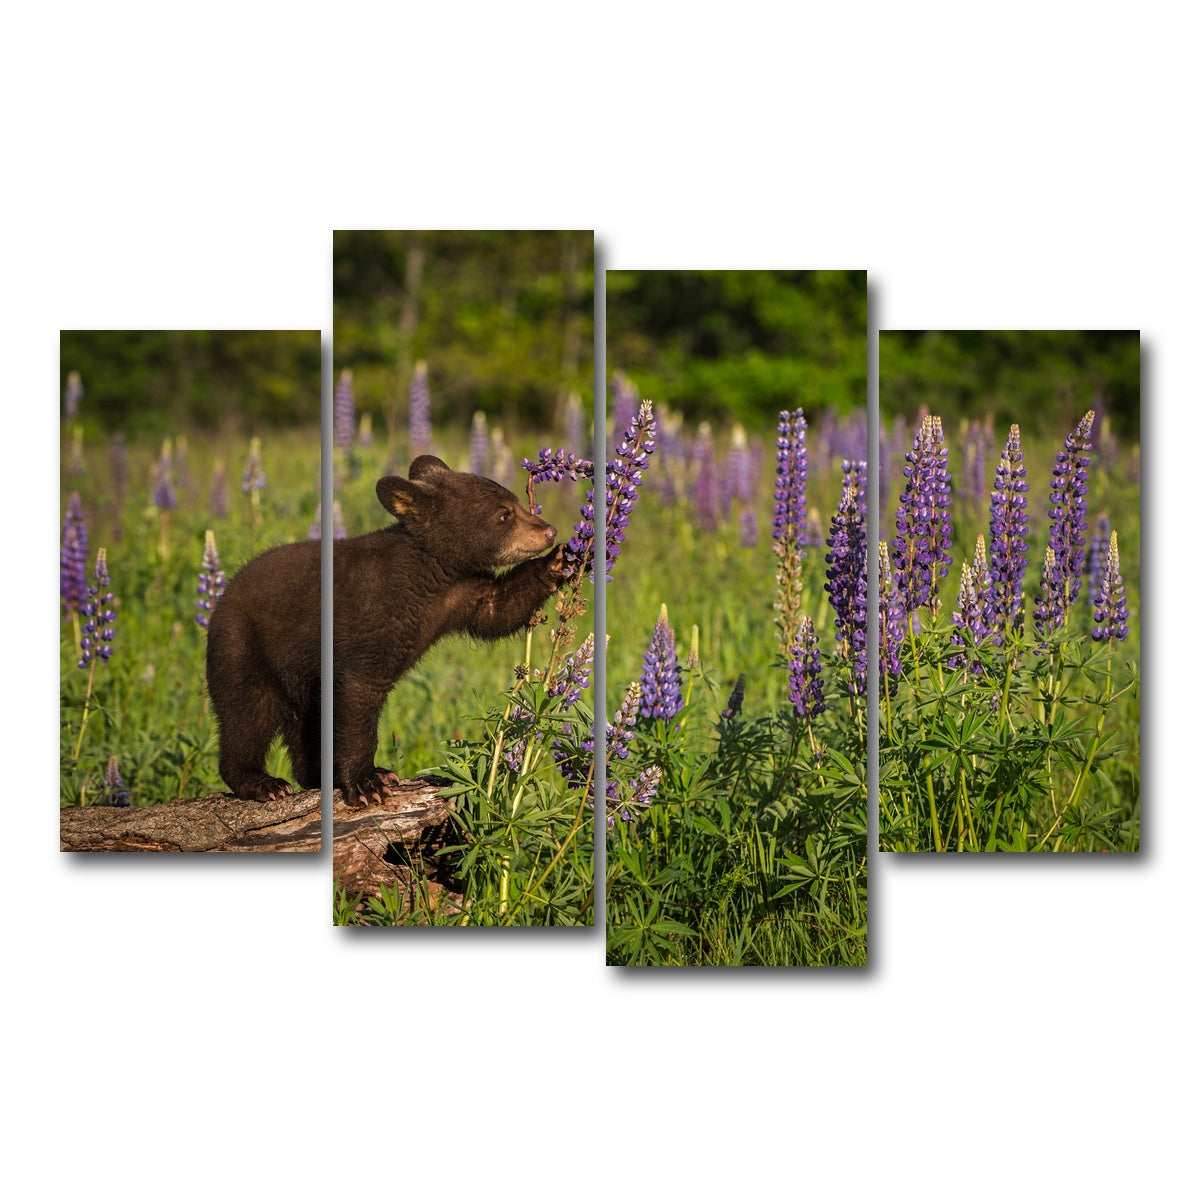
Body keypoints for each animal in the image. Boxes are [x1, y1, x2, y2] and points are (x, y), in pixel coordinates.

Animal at [205, 455, 568, 806]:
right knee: (247, 714)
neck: (430, 574)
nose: (550, 531)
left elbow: (498, 609)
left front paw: (561, 560)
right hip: (244, 648)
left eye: (517, 503)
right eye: (504, 515)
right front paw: (367, 782)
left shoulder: (461, 593)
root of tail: (221, 599)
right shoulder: (371, 622)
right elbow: (358, 697)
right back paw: (263, 783)